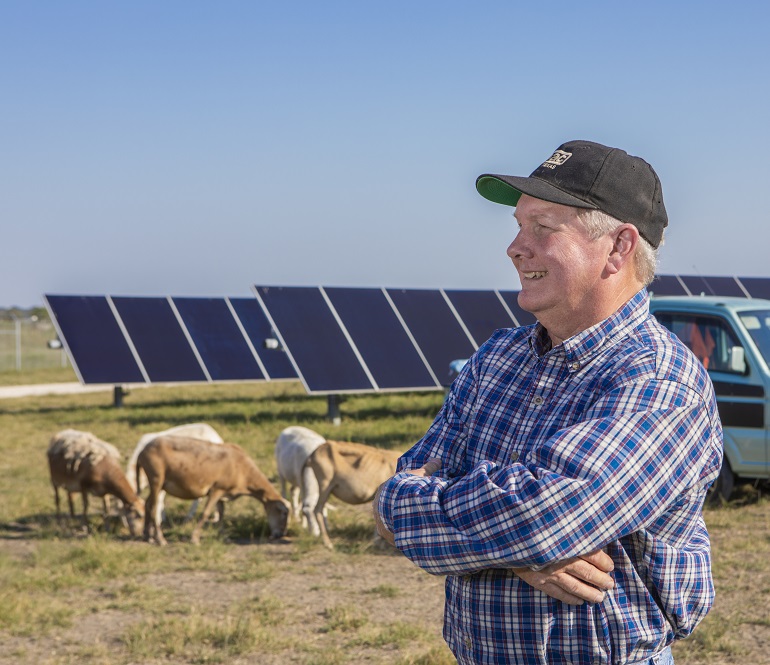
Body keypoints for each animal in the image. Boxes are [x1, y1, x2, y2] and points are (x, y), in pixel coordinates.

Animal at [136, 436, 290, 544]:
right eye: (283, 513)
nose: (280, 535)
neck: (243, 471)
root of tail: (143, 451)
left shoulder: (223, 493)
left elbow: (221, 514)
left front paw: (223, 536)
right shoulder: (217, 489)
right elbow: (206, 513)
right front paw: (194, 538)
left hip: (156, 483)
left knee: (147, 504)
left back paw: (147, 536)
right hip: (156, 479)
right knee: (154, 507)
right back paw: (160, 539)